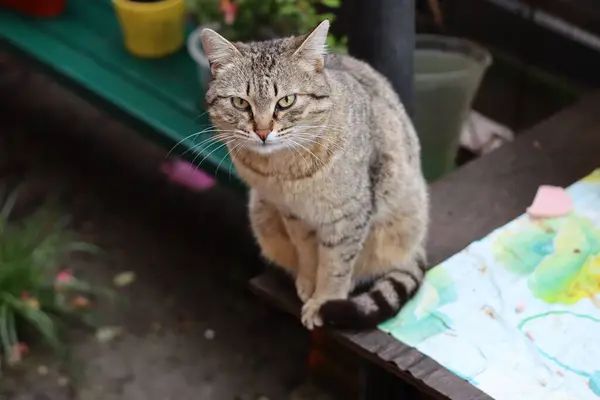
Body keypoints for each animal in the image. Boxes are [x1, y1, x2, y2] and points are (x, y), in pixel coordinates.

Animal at [203, 20, 432, 330]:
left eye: (286, 101)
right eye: (240, 103)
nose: (262, 131)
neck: (285, 170)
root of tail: (418, 246)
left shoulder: (349, 215)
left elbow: (336, 264)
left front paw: (324, 300)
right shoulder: (293, 214)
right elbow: (307, 252)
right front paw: (308, 282)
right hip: (262, 212)